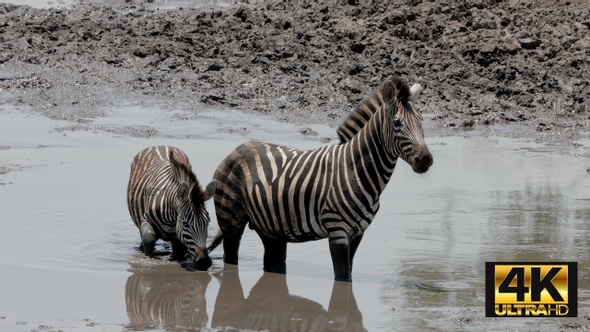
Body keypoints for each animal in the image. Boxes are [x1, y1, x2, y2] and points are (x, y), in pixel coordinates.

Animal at [210, 77, 432, 280]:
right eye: (397, 123)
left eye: (421, 120)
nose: (426, 159)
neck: (356, 170)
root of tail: (238, 148)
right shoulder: (337, 232)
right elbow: (343, 279)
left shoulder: (357, 233)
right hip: (230, 220)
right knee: (231, 258)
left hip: (270, 228)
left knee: (273, 260)